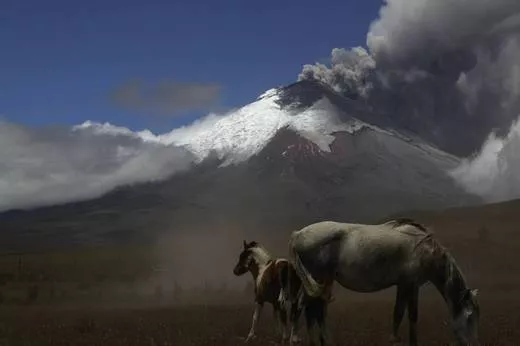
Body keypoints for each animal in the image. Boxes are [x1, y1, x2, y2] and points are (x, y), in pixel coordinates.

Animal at [288, 219, 480, 346]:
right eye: (470, 317)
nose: (472, 344)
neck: (425, 250)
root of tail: (298, 234)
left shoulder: (406, 286)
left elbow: (401, 312)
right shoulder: (409, 285)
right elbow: (409, 314)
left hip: (319, 282)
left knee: (312, 309)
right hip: (318, 279)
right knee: (310, 308)